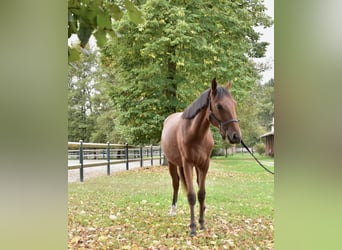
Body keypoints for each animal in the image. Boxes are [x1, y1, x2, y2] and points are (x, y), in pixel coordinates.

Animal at [160, 78, 240, 236]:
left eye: (234, 103)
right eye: (219, 106)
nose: (236, 136)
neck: (195, 134)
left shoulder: (204, 164)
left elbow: (201, 193)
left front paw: (202, 223)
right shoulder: (187, 164)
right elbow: (191, 195)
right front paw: (192, 227)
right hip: (173, 164)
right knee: (176, 184)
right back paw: (172, 210)